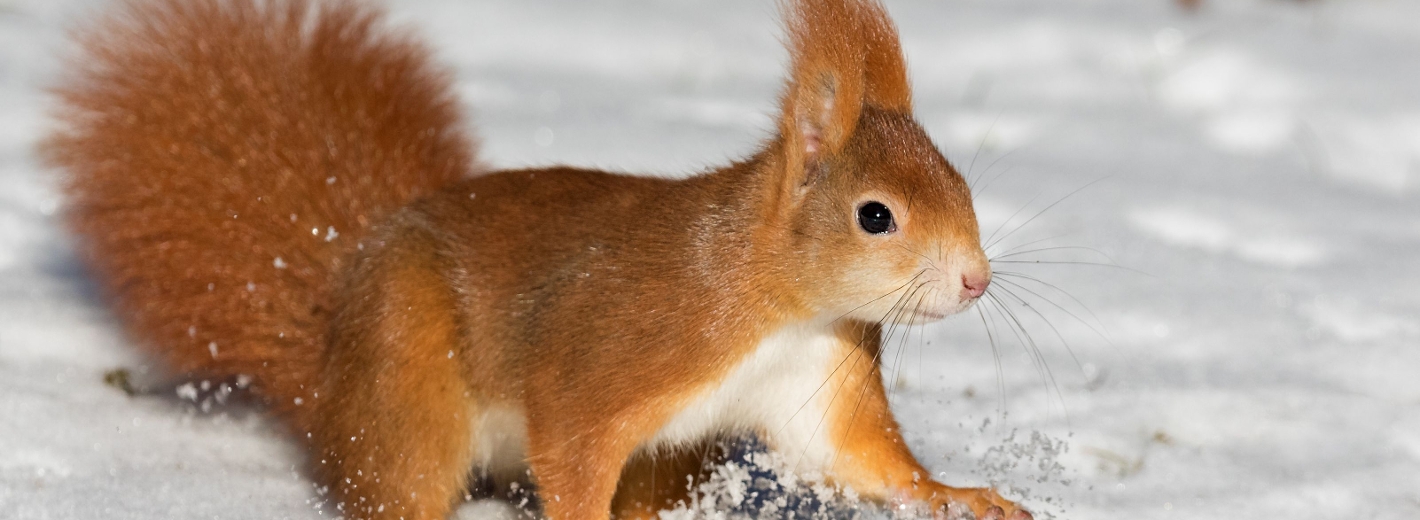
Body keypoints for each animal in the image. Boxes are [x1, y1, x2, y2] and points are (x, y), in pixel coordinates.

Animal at [45, 0, 1033, 519]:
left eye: (962, 184)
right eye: (876, 216)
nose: (976, 279)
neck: (780, 304)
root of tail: (331, 349)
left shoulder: (817, 378)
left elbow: (866, 463)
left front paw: (969, 497)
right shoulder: (619, 348)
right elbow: (573, 440)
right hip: (407, 372)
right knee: (401, 477)